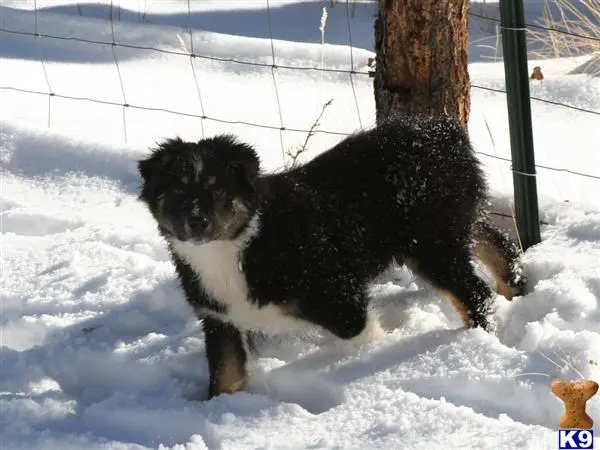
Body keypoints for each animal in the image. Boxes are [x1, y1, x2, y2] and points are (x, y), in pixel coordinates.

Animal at [137, 115, 524, 398]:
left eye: (218, 189)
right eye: (177, 190)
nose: (197, 221)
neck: (239, 244)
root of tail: (442, 132)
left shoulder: (340, 297)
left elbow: (361, 334)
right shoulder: (220, 320)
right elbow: (225, 377)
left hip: (430, 243)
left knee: (474, 293)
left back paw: (471, 345)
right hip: (454, 224)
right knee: (498, 244)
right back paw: (515, 289)